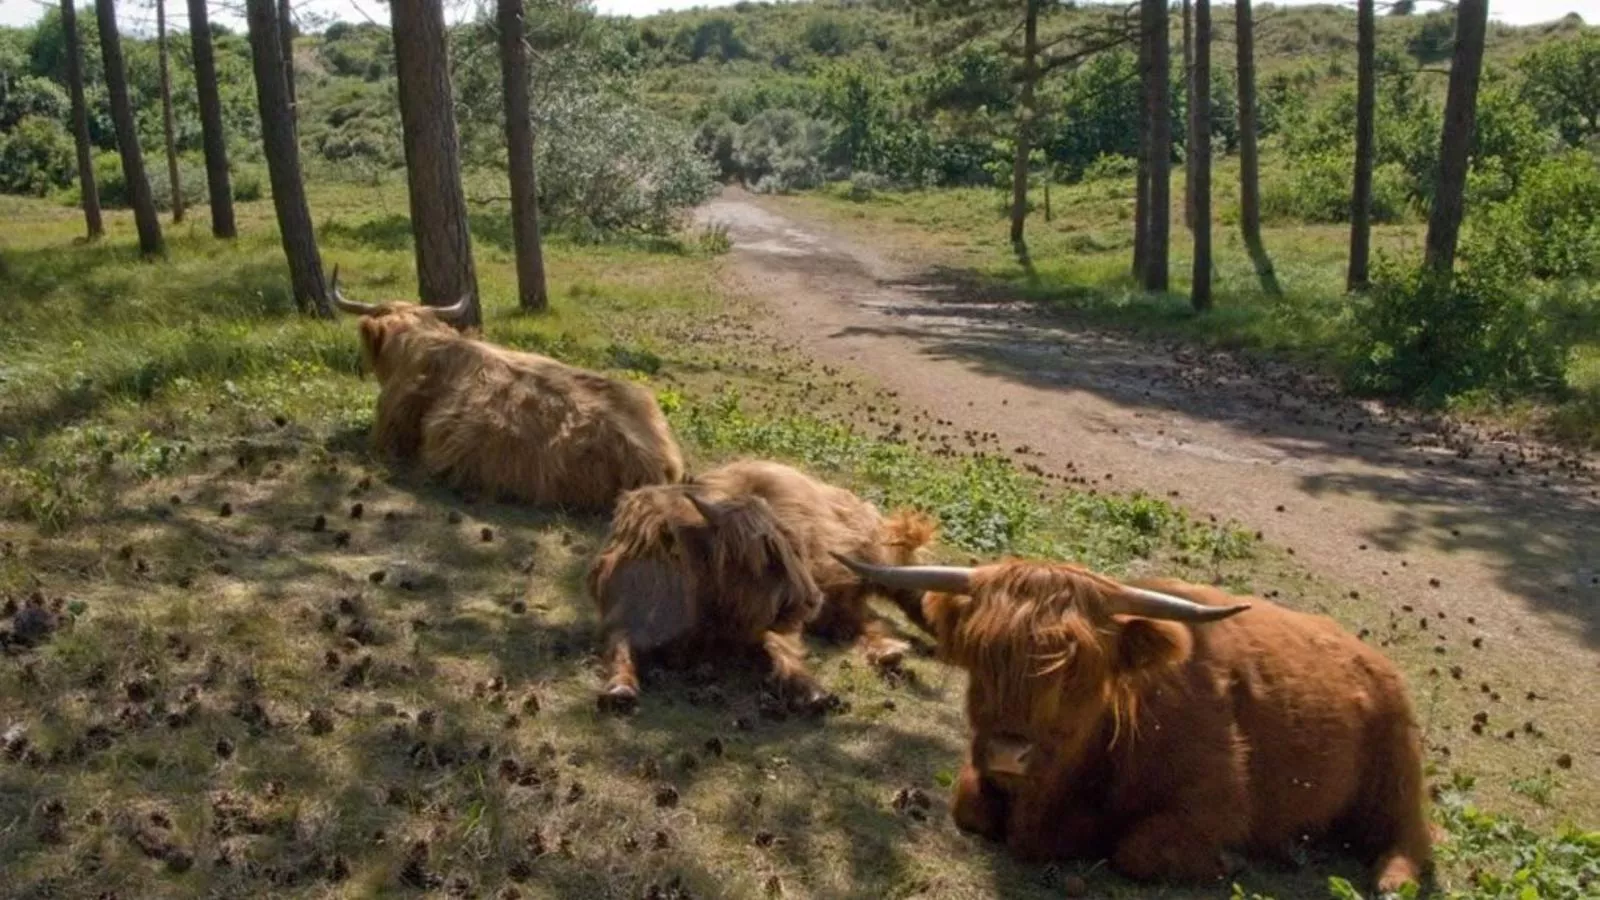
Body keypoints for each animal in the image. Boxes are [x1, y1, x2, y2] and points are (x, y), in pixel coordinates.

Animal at [588, 458, 934, 711]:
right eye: (766, 557)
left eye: (791, 547)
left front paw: (812, 692)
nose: (812, 599)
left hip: (870, 556)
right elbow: (619, 646)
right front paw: (620, 689)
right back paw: (888, 652)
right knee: (857, 619)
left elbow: (779, 647)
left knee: (908, 590)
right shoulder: (621, 615)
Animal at [838, 554, 1440, 890]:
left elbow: (1138, 850)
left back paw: (1388, 879)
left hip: (1397, 772)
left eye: (1079, 669)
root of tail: (1369, 657)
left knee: (1411, 835)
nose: (1009, 752)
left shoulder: (1217, 801)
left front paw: (1228, 863)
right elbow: (969, 806)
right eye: (980, 657)